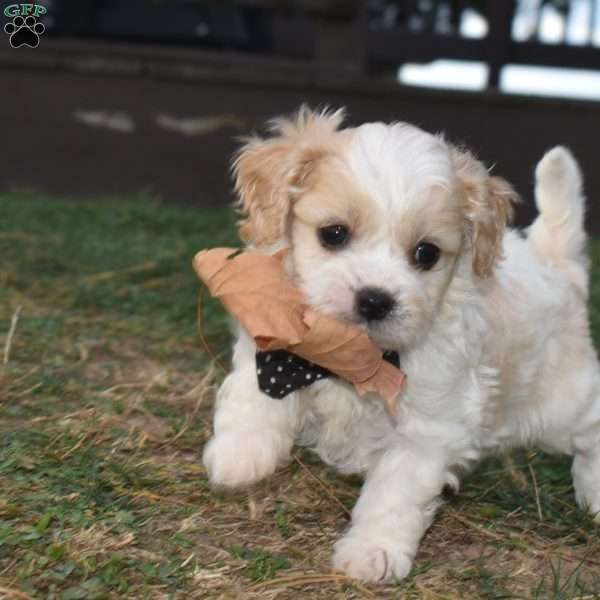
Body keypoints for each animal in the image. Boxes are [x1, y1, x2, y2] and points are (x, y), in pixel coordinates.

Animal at [203, 106, 600, 580]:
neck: (355, 358)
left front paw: (373, 551)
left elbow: (394, 492)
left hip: (561, 399)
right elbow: (255, 392)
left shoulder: (427, 426)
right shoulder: (272, 338)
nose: (375, 299)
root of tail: (554, 265)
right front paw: (240, 453)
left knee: (592, 426)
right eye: (334, 234)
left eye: (426, 254)